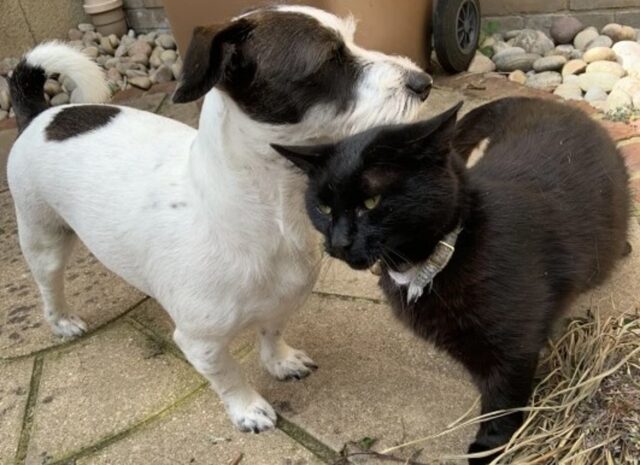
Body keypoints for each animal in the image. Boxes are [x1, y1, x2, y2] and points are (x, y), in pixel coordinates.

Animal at [7, 4, 432, 432]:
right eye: (330, 59)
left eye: (355, 40)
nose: (424, 81)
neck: (268, 215)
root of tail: (42, 114)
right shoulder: (201, 343)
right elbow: (229, 377)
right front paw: (248, 408)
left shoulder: (281, 302)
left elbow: (271, 333)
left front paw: (279, 361)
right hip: (43, 239)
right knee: (49, 284)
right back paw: (61, 320)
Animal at [270, 96, 632, 462]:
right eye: (324, 208)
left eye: (371, 202)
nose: (338, 243)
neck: (442, 256)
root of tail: (553, 106)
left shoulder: (514, 348)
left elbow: (502, 399)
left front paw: (489, 446)